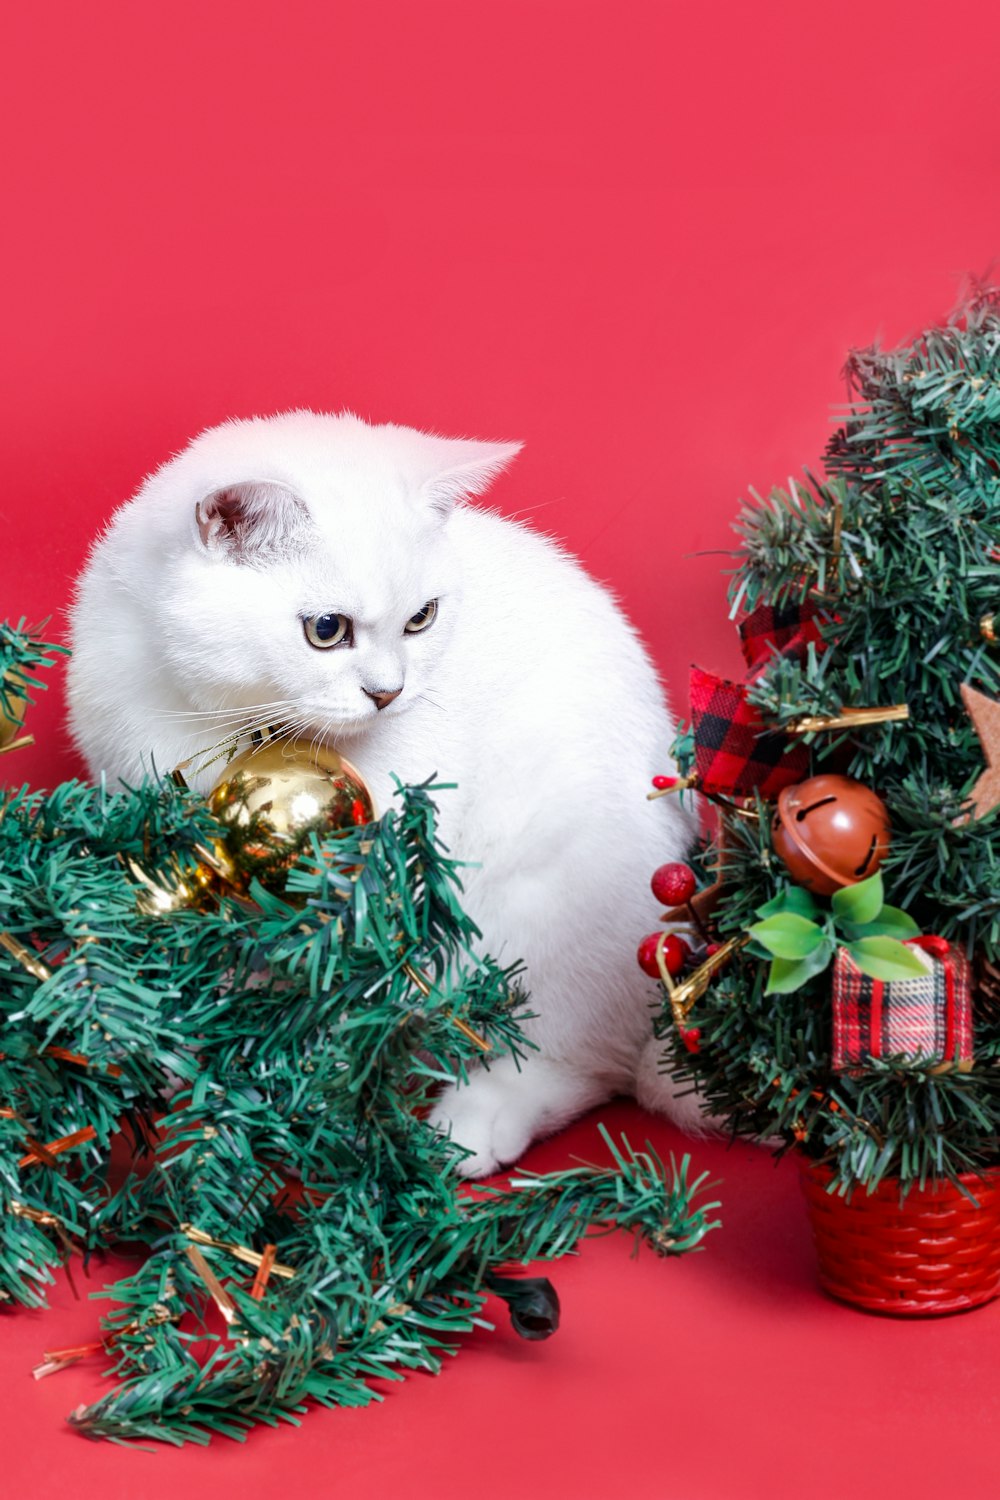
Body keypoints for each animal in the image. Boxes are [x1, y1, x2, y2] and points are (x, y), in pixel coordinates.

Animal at [66, 411, 701, 1170]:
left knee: (581, 1054)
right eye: (326, 630)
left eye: (421, 618)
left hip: (557, 891)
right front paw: (189, 1049)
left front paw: (315, 1078)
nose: (389, 692)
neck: (223, 725)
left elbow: (341, 983)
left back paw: (472, 1121)